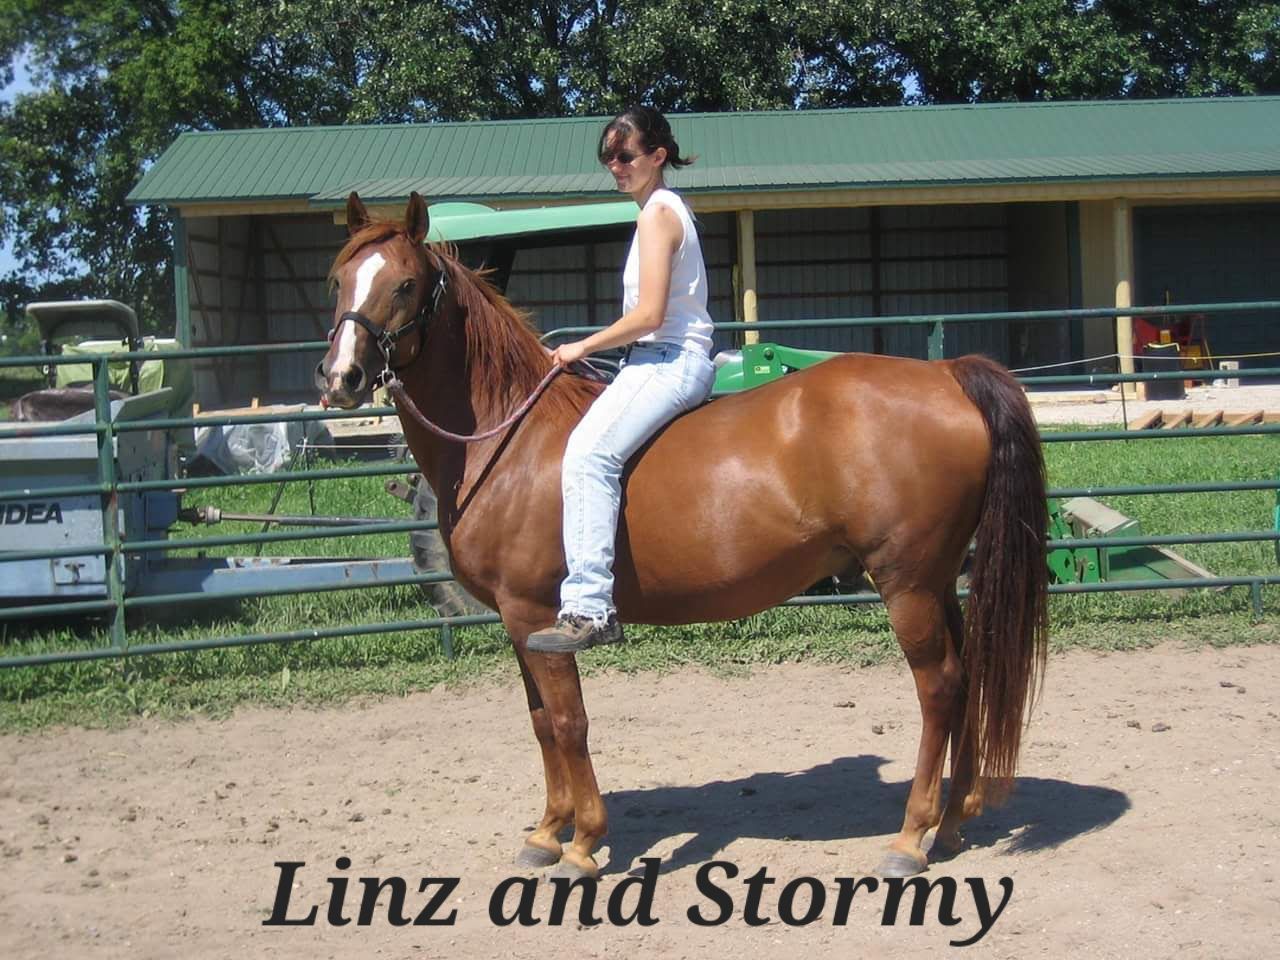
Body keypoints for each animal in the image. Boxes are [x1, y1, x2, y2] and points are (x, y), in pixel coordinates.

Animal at [317, 192, 1049, 880]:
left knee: (941, 688)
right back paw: (951, 824)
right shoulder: (519, 623)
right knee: (969, 676)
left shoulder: (535, 614)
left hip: (906, 585)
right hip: (937, 581)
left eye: (406, 284)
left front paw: (582, 842)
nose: (341, 378)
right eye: (339, 277)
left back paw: (910, 836)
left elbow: (569, 723)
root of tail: (946, 374)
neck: (510, 437)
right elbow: (541, 723)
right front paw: (547, 833)